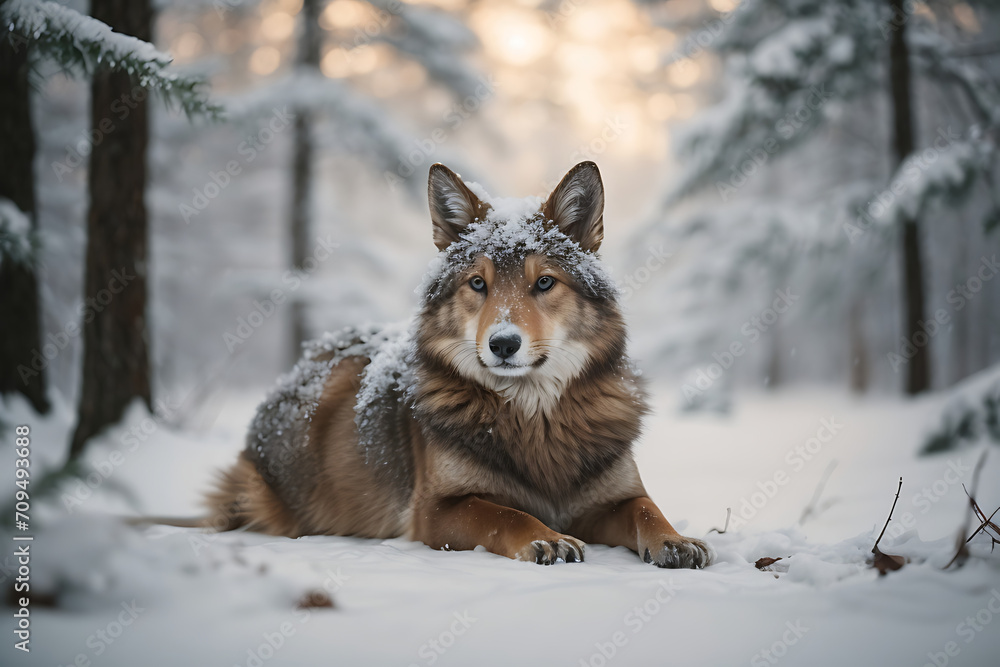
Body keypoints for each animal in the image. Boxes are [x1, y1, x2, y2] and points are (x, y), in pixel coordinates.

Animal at [207, 161, 714, 568]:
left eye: (544, 282)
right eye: (477, 283)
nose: (503, 344)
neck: (535, 420)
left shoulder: (615, 496)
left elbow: (647, 509)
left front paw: (676, 540)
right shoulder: (436, 510)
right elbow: (506, 513)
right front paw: (546, 539)